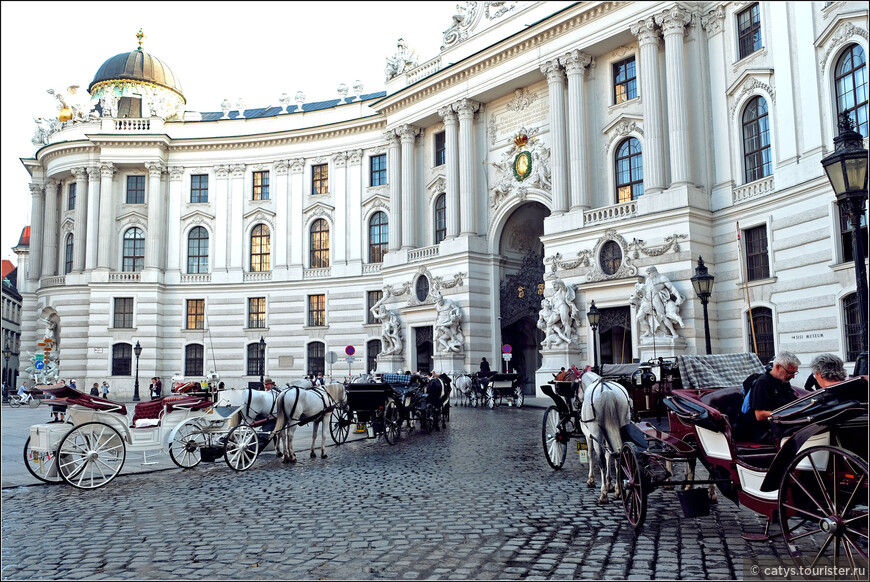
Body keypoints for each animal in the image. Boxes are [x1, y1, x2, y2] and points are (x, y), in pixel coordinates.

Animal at [580, 374, 632, 506]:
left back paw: (603, 495)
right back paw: (619, 491)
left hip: (596, 431)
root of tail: (607, 392)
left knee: (601, 460)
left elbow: (591, 454)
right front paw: (610, 484)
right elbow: (610, 455)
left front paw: (591, 480)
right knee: (619, 455)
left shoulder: (589, 435)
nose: (575, 402)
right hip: (623, 426)